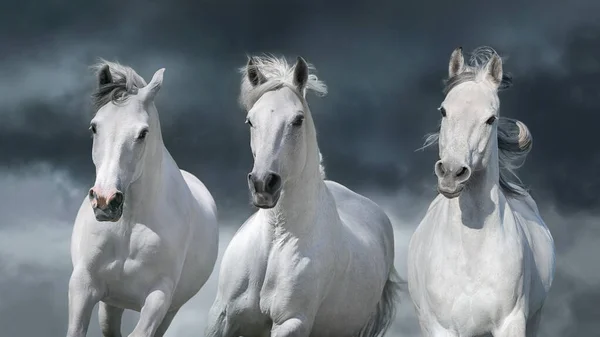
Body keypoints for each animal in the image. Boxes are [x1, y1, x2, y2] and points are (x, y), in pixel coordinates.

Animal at [68, 61, 218, 336]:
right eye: (94, 127)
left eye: (143, 133)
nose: (105, 201)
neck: (129, 224)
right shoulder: (83, 285)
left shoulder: (158, 297)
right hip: (111, 303)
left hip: (168, 310)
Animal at [206, 55, 404, 336]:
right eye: (250, 121)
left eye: (297, 120)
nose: (263, 184)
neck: (276, 241)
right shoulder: (221, 316)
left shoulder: (292, 322)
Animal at [408, 47, 556, 336]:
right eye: (443, 111)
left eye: (490, 119)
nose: (451, 173)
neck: (471, 253)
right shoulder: (441, 328)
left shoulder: (511, 323)